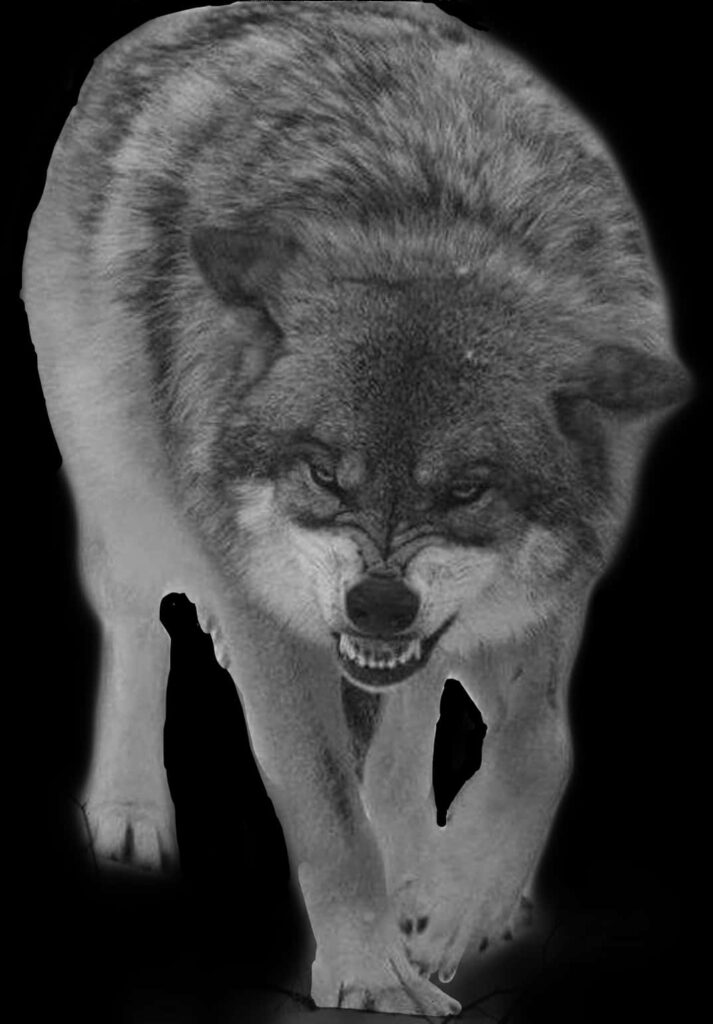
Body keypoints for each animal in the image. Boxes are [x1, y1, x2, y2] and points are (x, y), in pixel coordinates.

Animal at [22, 1, 690, 1015]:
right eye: (324, 474)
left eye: (467, 489)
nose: (377, 604)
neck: (436, 225)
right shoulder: (272, 620)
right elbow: (334, 820)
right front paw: (372, 980)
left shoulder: (534, 606)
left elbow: (540, 748)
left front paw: (457, 905)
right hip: (127, 500)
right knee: (142, 634)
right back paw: (132, 812)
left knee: (408, 726)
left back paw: (418, 873)